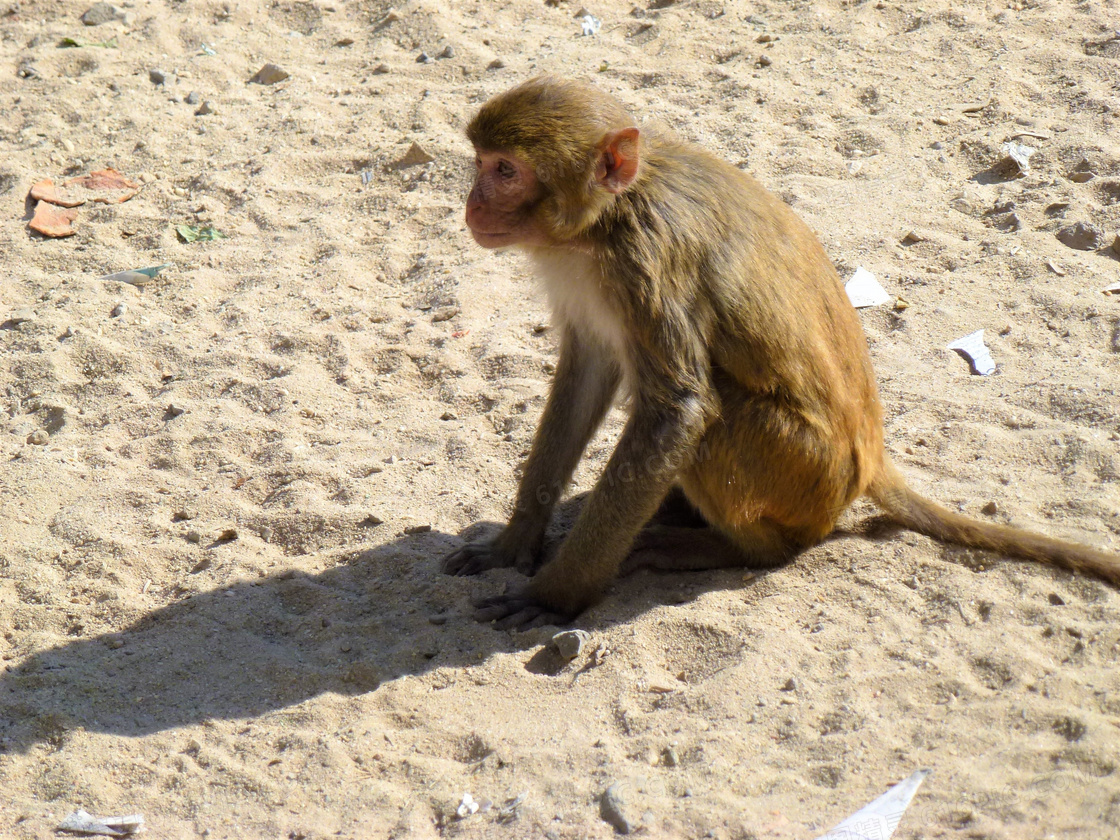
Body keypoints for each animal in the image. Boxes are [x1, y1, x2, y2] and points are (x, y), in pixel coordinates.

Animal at [441, 77, 1120, 631]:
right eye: (482, 163)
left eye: (505, 171)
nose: (471, 203)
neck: (608, 216)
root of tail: (870, 465)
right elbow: (588, 369)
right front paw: (514, 544)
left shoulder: (646, 263)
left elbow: (677, 412)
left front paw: (555, 597)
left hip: (801, 470)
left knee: (719, 432)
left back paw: (740, 550)